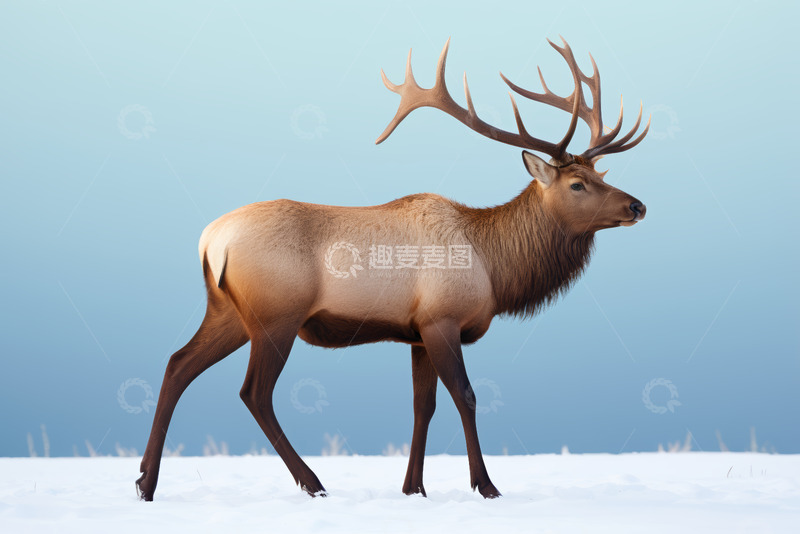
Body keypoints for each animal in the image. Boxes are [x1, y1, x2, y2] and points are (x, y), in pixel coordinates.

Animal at [136, 36, 649, 501]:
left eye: (601, 174)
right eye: (578, 184)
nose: (637, 205)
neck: (493, 267)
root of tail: (210, 239)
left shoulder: (417, 332)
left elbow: (424, 406)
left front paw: (413, 487)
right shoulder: (442, 319)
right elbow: (466, 396)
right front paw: (486, 486)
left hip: (229, 312)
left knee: (177, 364)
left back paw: (146, 483)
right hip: (276, 315)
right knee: (254, 392)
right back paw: (313, 482)